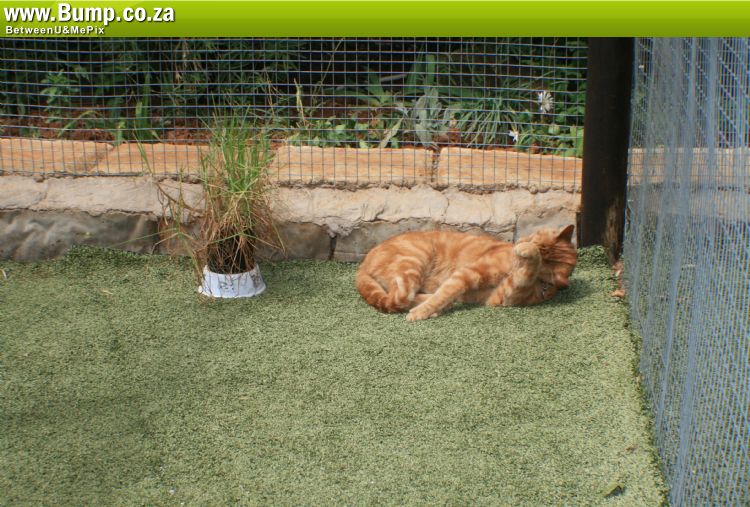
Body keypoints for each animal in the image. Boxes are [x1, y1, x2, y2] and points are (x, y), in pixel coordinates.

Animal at [355, 225, 577, 321]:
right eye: (534, 238)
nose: (518, 244)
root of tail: (362, 265)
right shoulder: (469, 274)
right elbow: (445, 293)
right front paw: (423, 312)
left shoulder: (503, 296)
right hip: (414, 262)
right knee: (399, 298)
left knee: (400, 298)